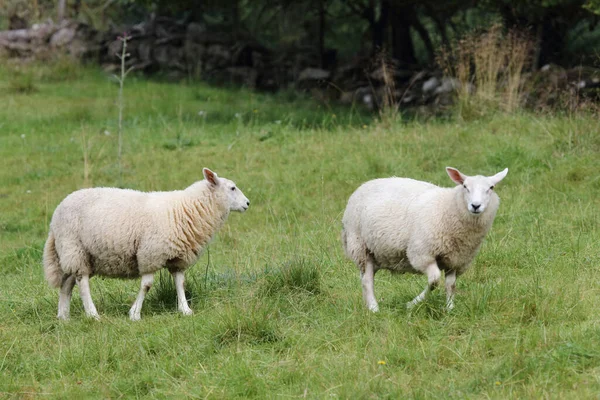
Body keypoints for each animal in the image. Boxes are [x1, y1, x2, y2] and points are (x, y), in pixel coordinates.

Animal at [42, 169, 248, 322]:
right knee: (82, 282)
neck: (184, 209)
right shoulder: (150, 254)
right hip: (74, 247)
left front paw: (185, 309)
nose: (247, 203)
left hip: (79, 254)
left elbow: (180, 283)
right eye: (232, 188)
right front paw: (135, 314)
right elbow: (147, 285)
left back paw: (64, 317)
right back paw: (93, 315)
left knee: (66, 284)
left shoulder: (177, 258)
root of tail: (55, 216)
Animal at [342, 166, 506, 312]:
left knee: (366, 278)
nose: (475, 206)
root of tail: (366, 184)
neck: (448, 208)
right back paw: (374, 308)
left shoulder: (456, 259)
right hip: (360, 246)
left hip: (376, 253)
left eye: (491, 187)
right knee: (367, 281)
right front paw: (411, 304)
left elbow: (450, 285)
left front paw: (449, 308)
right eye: (465, 186)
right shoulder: (422, 253)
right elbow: (434, 281)